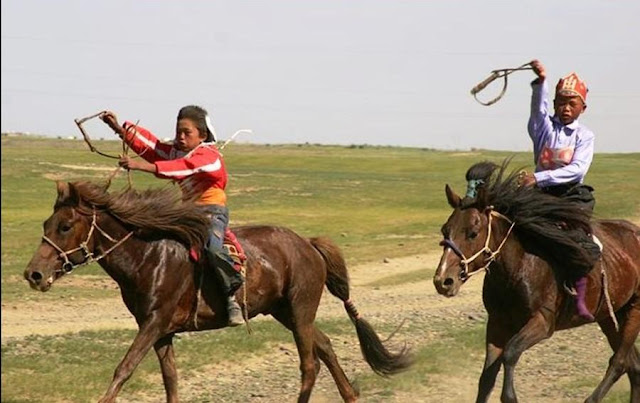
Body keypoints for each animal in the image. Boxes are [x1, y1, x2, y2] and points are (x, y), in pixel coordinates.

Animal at [23, 181, 410, 402]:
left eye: (65, 226)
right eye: (46, 223)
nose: (33, 273)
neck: (149, 256)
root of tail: (308, 243)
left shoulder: (153, 323)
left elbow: (124, 369)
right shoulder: (162, 331)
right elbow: (170, 379)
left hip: (300, 310)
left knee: (309, 363)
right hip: (285, 311)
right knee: (326, 347)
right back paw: (350, 396)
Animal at [432, 161, 636, 403]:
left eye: (473, 232)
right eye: (445, 230)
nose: (443, 280)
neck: (519, 269)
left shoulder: (543, 322)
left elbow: (510, 352)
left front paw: (510, 396)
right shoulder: (497, 324)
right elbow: (487, 377)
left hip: (634, 310)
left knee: (620, 362)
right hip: (610, 315)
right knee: (633, 364)